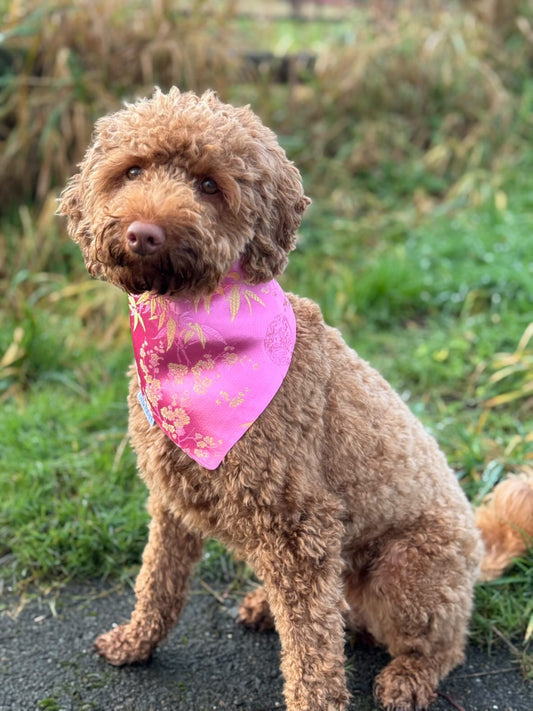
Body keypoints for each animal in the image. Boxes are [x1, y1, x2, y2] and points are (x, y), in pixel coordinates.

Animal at [57, 89, 524, 711]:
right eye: (131, 171)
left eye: (209, 185)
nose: (143, 233)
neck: (192, 332)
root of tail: (476, 549)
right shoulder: (171, 502)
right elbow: (157, 580)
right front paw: (136, 641)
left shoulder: (302, 531)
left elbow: (312, 654)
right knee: (348, 615)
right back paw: (265, 606)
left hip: (408, 570)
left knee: (440, 644)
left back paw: (408, 676)